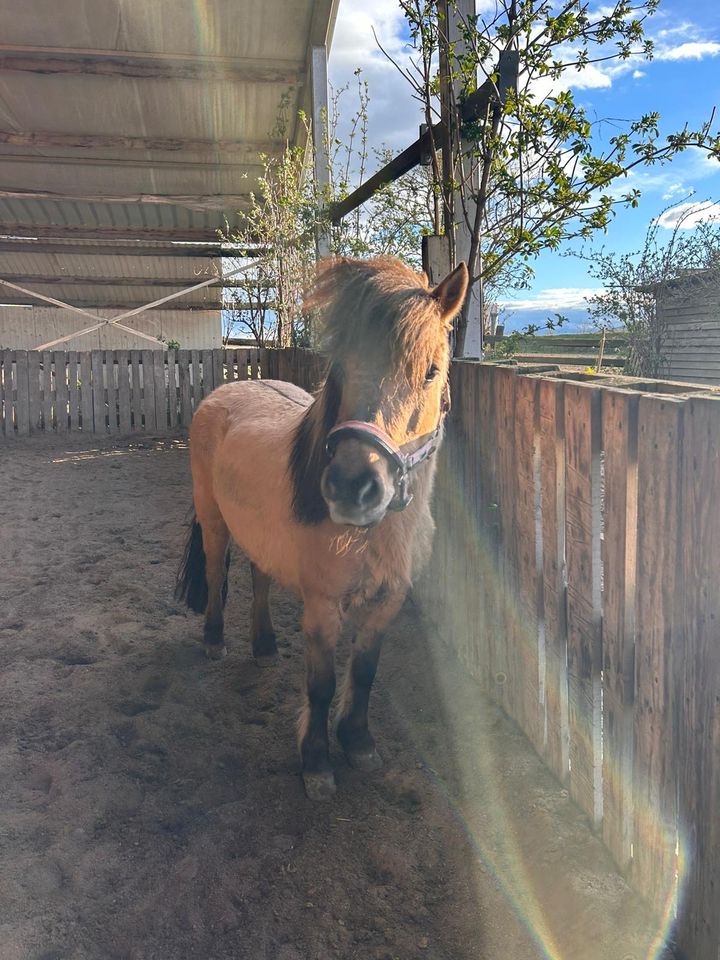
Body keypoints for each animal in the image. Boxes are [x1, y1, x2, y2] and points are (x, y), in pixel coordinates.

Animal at [174, 256, 466, 804]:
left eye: (432, 371)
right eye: (343, 366)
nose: (353, 486)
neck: (376, 532)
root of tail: (226, 389)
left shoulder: (388, 601)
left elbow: (365, 672)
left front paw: (358, 742)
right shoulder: (323, 608)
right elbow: (322, 685)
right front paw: (316, 763)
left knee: (260, 578)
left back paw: (265, 646)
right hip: (214, 521)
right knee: (217, 570)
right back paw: (215, 640)